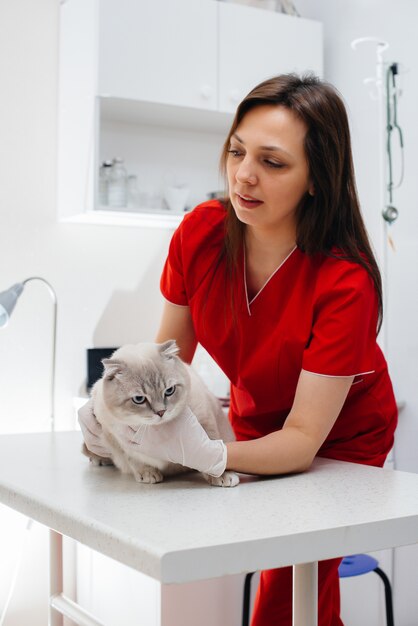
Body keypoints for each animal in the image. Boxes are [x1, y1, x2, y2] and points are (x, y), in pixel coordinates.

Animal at [82, 338, 238, 486]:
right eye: (139, 399)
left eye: (169, 390)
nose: (161, 412)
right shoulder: (115, 438)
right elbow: (135, 460)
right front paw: (148, 474)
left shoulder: (205, 419)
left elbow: (212, 452)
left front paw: (223, 475)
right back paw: (100, 460)